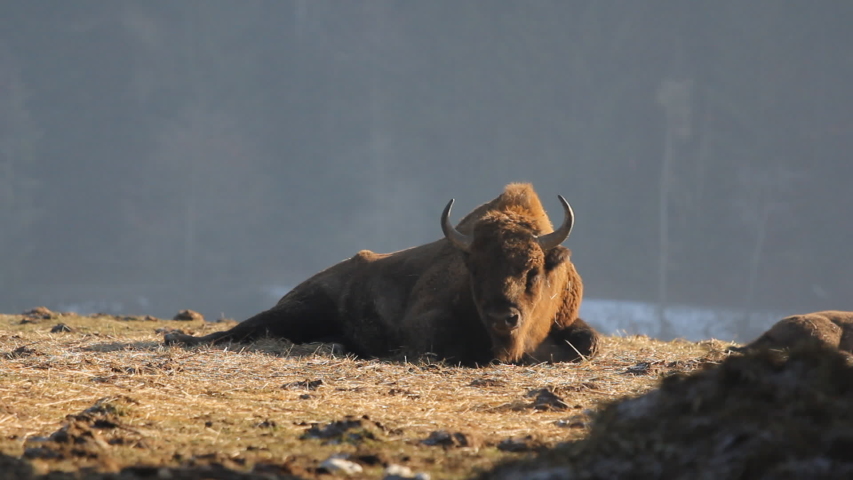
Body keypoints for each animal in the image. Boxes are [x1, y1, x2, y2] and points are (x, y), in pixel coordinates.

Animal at [164, 183, 600, 366]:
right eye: (473, 268)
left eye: (532, 269)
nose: (502, 317)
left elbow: (589, 342)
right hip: (296, 310)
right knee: (240, 330)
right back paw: (178, 337)